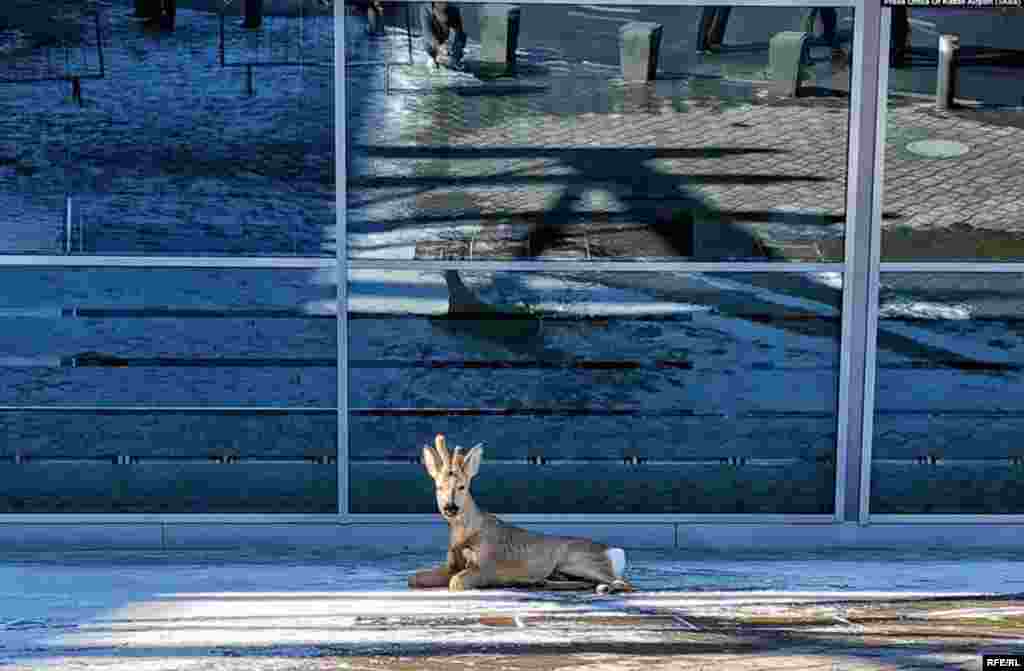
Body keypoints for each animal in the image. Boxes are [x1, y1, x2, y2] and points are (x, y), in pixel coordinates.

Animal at [405, 436, 630, 594]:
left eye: (462, 486)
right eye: (438, 487)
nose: (450, 507)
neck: (465, 534)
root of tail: (614, 551)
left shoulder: (488, 564)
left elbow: (456, 581)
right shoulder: (453, 564)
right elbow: (413, 578)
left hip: (580, 559)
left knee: (624, 582)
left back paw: (604, 588)